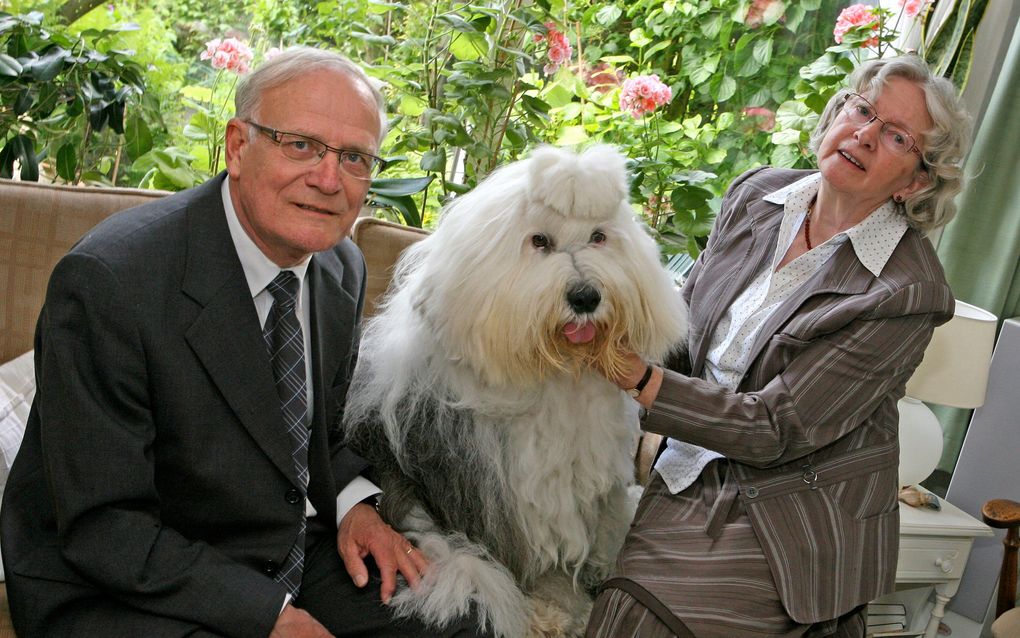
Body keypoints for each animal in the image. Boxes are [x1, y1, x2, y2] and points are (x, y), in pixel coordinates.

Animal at [346, 145, 689, 636]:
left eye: (599, 237)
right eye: (539, 241)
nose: (585, 297)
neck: (553, 372)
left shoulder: (588, 488)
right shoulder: (496, 497)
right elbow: (523, 564)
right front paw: (554, 611)